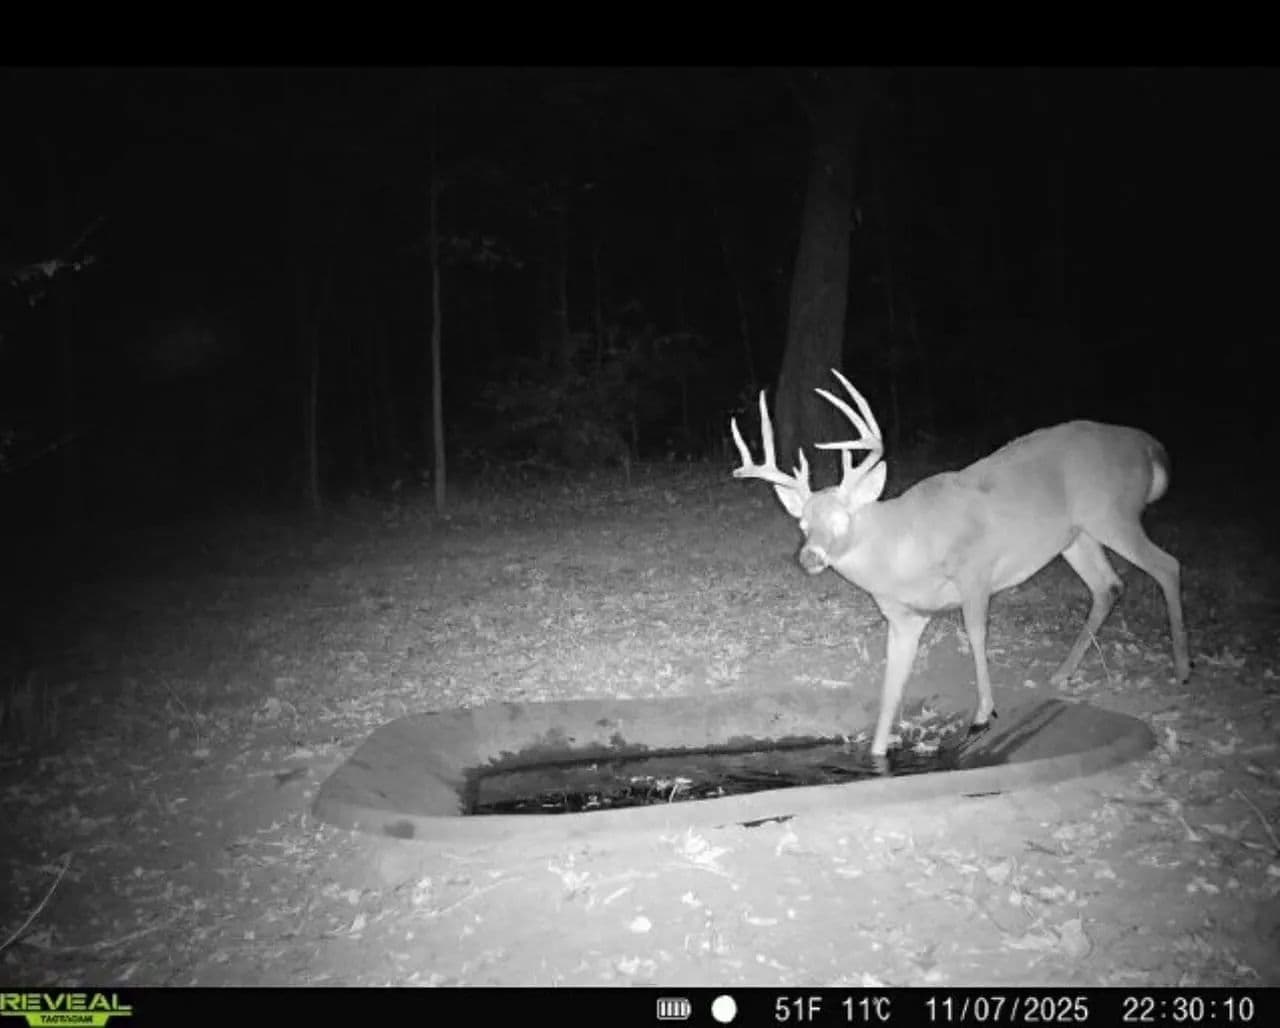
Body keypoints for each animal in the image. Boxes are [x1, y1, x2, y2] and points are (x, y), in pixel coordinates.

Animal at [730, 369, 1190, 760]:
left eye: (843, 519)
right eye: (803, 524)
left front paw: (983, 714)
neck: (905, 547)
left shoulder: (976, 570)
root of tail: (1150, 446)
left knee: (1167, 565)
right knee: (1108, 585)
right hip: (1077, 535)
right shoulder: (904, 617)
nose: (810, 557)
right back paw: (1061, 675)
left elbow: (976, 634)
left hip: (1112, 514)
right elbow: (890, 691)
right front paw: (877, 755)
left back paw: (1183, 669)